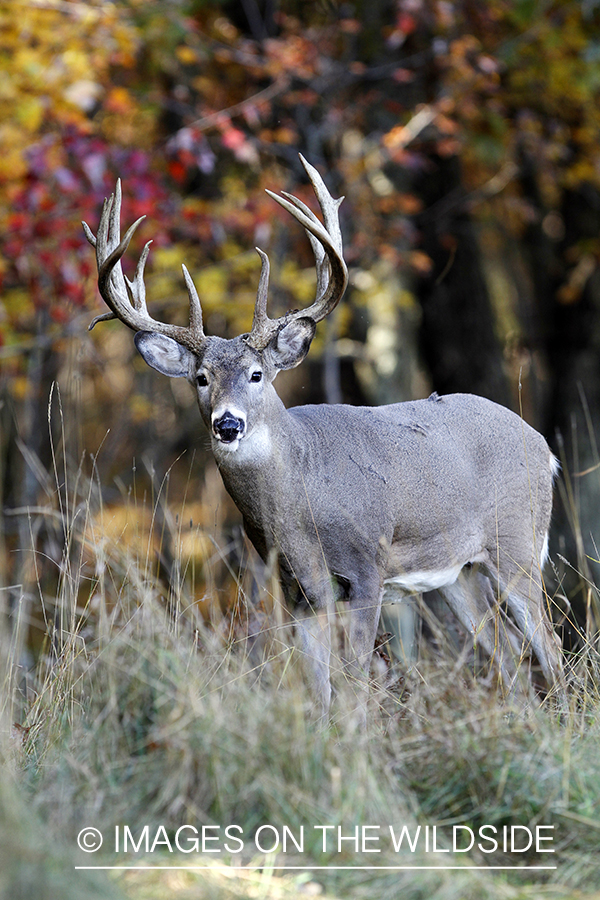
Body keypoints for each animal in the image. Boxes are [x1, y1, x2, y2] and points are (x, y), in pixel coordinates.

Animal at [83, 153, 564, 716]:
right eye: (200, 378)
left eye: (257, 374)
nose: (228, 424)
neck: (299, 509)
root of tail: (543, 446)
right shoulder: (297, 591)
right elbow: (321, 689)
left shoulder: (367, 567)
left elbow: (355, 682)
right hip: (461, 571)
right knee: (507, 653)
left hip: (518, 541)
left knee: (549, 643)